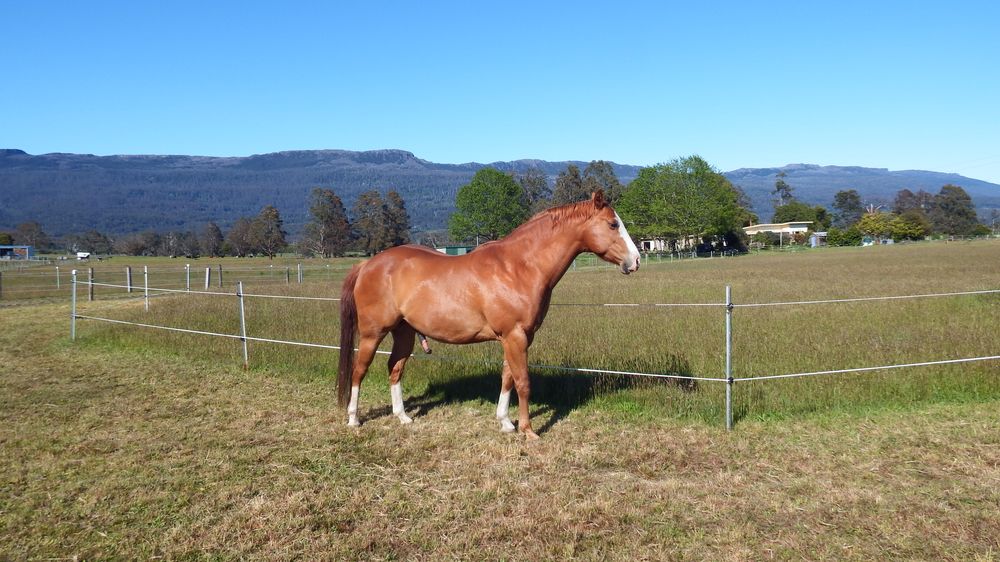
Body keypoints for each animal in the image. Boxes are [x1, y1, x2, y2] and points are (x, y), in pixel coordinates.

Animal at [336, 190, 640, 436]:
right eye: (613, 224)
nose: (635, 260)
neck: (519, 266)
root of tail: (367, 265)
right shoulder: (515, 336)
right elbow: (523, 382)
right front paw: (528, 431)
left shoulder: (517, 337)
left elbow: (507, 378)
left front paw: (505, 423)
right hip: (373, 333)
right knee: (359, 371)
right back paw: (353, 419)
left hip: (404, 332)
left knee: (395, 368)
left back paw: (402, 417)